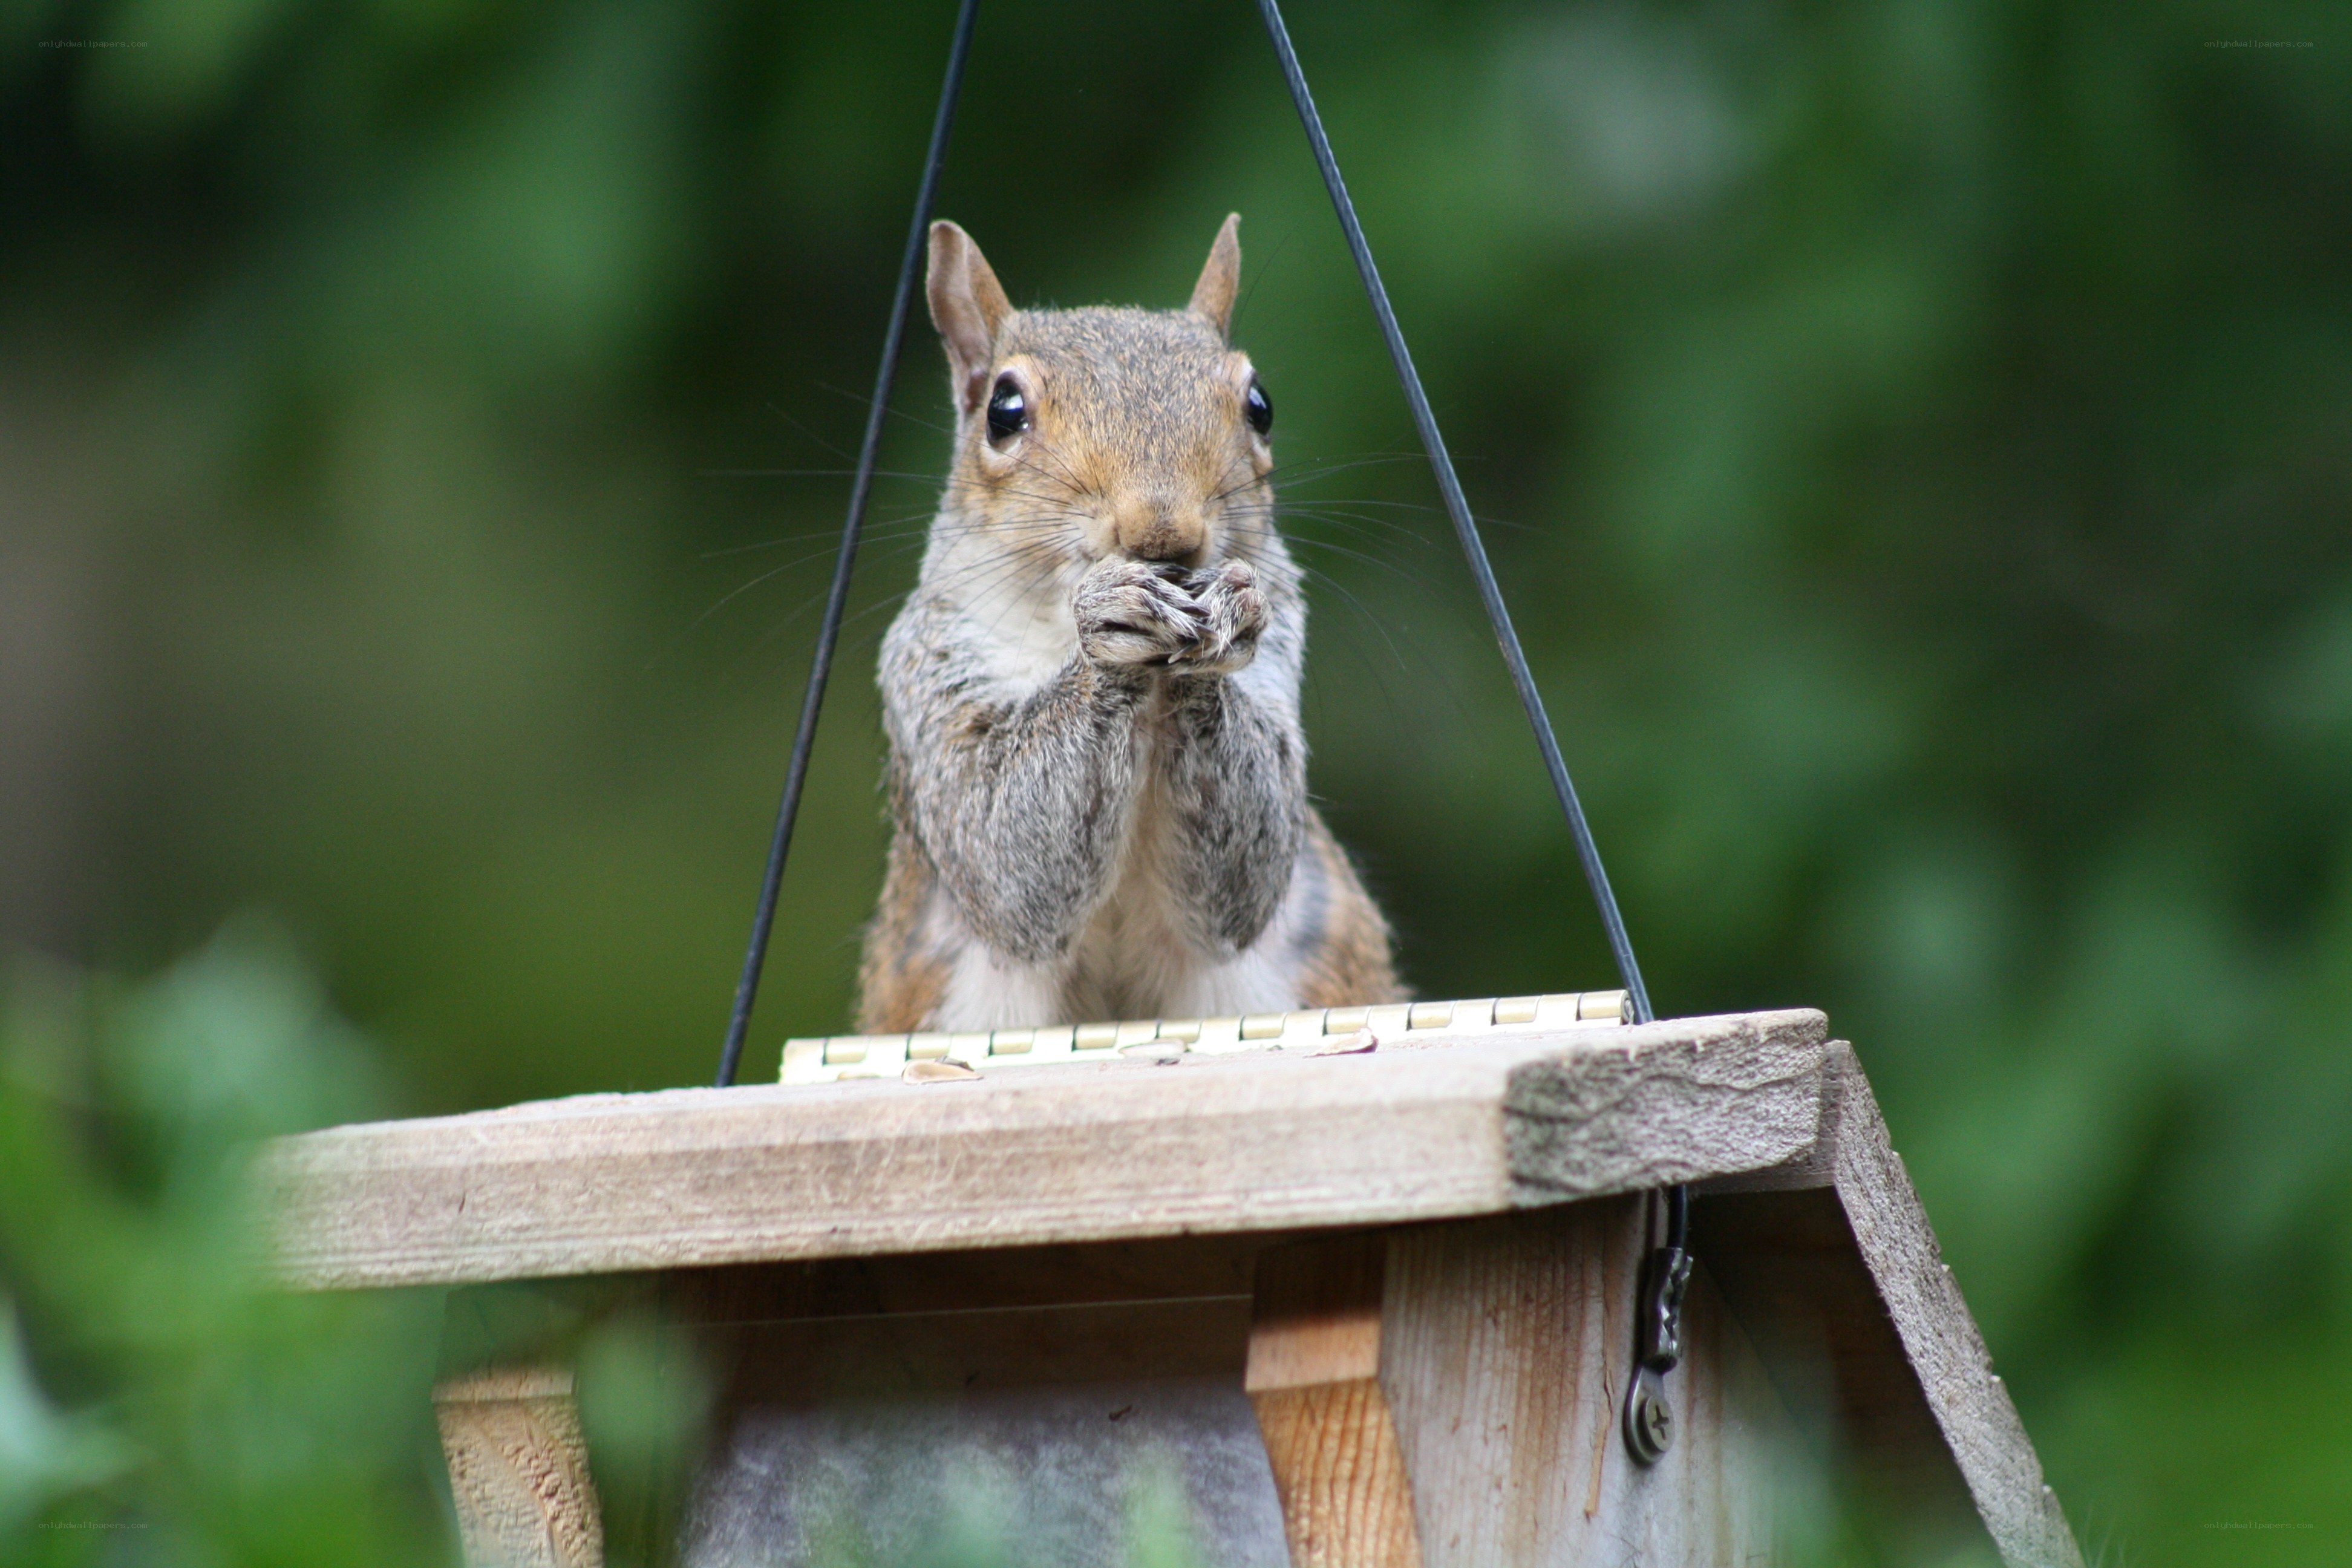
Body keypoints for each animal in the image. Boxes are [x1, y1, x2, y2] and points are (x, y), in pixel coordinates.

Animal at [856, 215, 1401, 1033]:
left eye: (1261, 405)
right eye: (1003, 412)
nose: (1162, 532)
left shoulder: (1282, 654)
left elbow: (1248, 870)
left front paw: (1224, 625)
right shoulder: (929, 669)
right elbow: (1000, 851)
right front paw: (1108, 626)